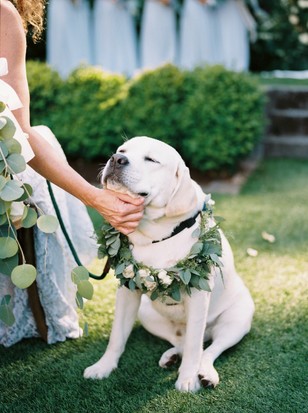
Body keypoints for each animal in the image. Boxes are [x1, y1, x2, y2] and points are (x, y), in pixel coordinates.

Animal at [83, 137, 254, 392]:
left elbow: (194, 346)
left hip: (236, 320)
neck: (155, 235)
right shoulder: (127, 291)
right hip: (147, 314)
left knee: (207, 348)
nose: (116, 159)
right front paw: (103, 367)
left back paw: (205, 372)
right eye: (122, 150)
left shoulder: (198, 295)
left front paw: (188, 379)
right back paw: (171, 356)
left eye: (151, 159)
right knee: (182, 341)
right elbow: (116, 336)